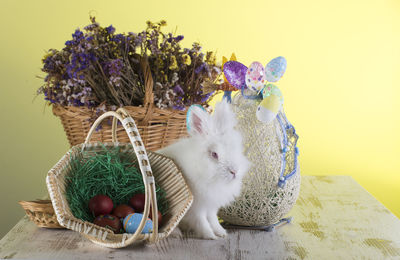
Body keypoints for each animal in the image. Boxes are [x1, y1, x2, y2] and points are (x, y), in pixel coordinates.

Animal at [157, 100, 248, 239]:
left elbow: (213, 219)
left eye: (237, 148)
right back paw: (177, 233)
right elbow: (202, 221)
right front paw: (210, 236)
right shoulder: (196, 208)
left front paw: (221, 233)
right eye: (214, 154)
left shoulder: (210, 207)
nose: (234, 172)